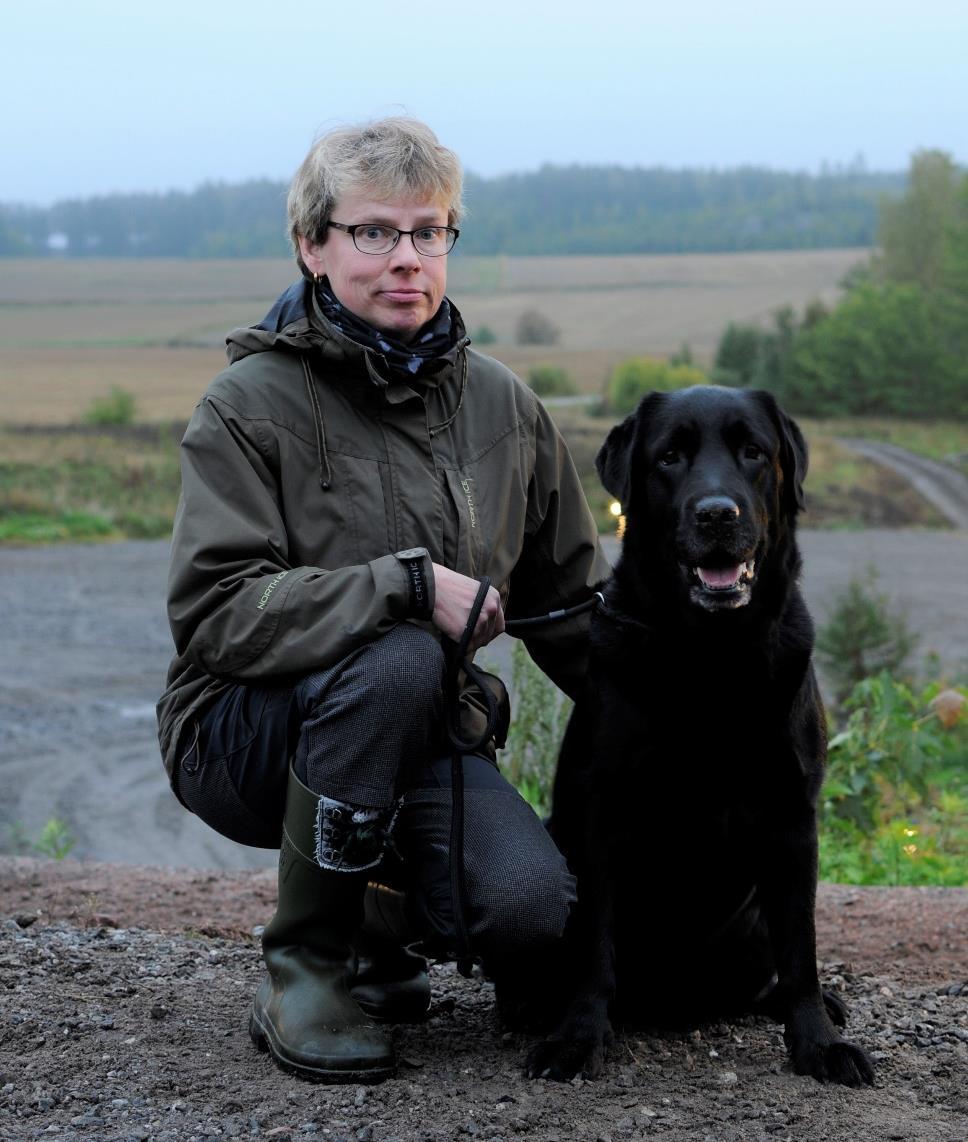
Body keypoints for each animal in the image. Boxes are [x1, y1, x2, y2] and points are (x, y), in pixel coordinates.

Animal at [522, 385, 876, 1087]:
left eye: (753, 452)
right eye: (669, 458)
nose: (717, 514)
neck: (711, 656)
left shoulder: (794, 817)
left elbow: (802, 949)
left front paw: (817, 1043)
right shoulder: (600, 813)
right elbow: (597, 944)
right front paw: (578, 1036)